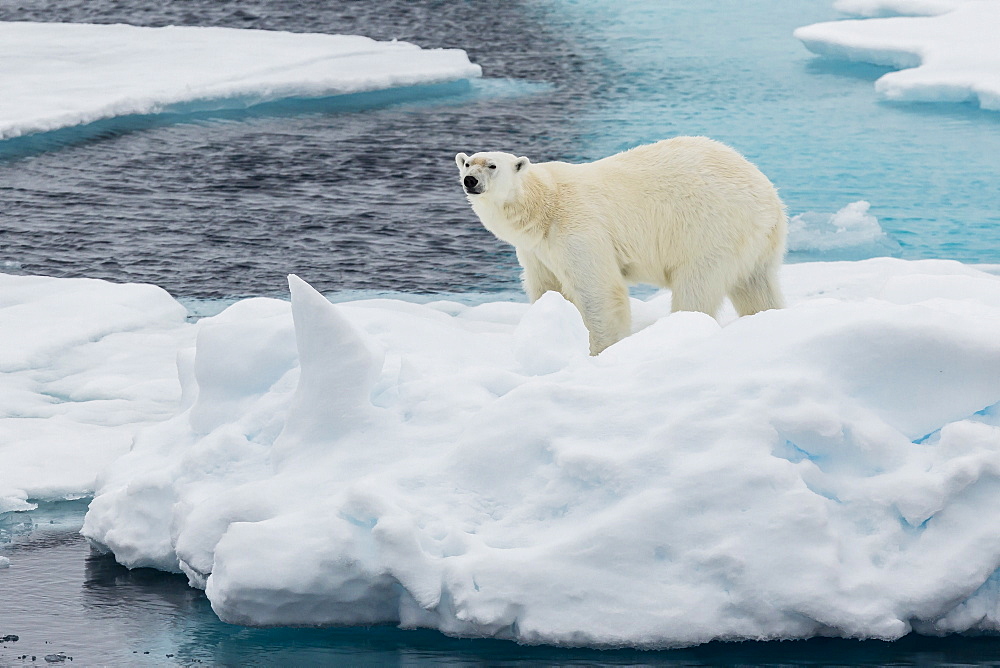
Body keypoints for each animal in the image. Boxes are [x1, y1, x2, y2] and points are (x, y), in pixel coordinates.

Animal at [456, 136, 788, 354]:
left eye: (492, 165)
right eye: (468, 163)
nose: (470, 180)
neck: (544, 205)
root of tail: (769, 197)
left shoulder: (579, 228)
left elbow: (599, 291)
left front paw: (601, 350)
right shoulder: (536, 250)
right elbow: (547, 289)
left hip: (709, 228)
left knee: (697, 285)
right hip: (757, 243)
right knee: (757, 286)